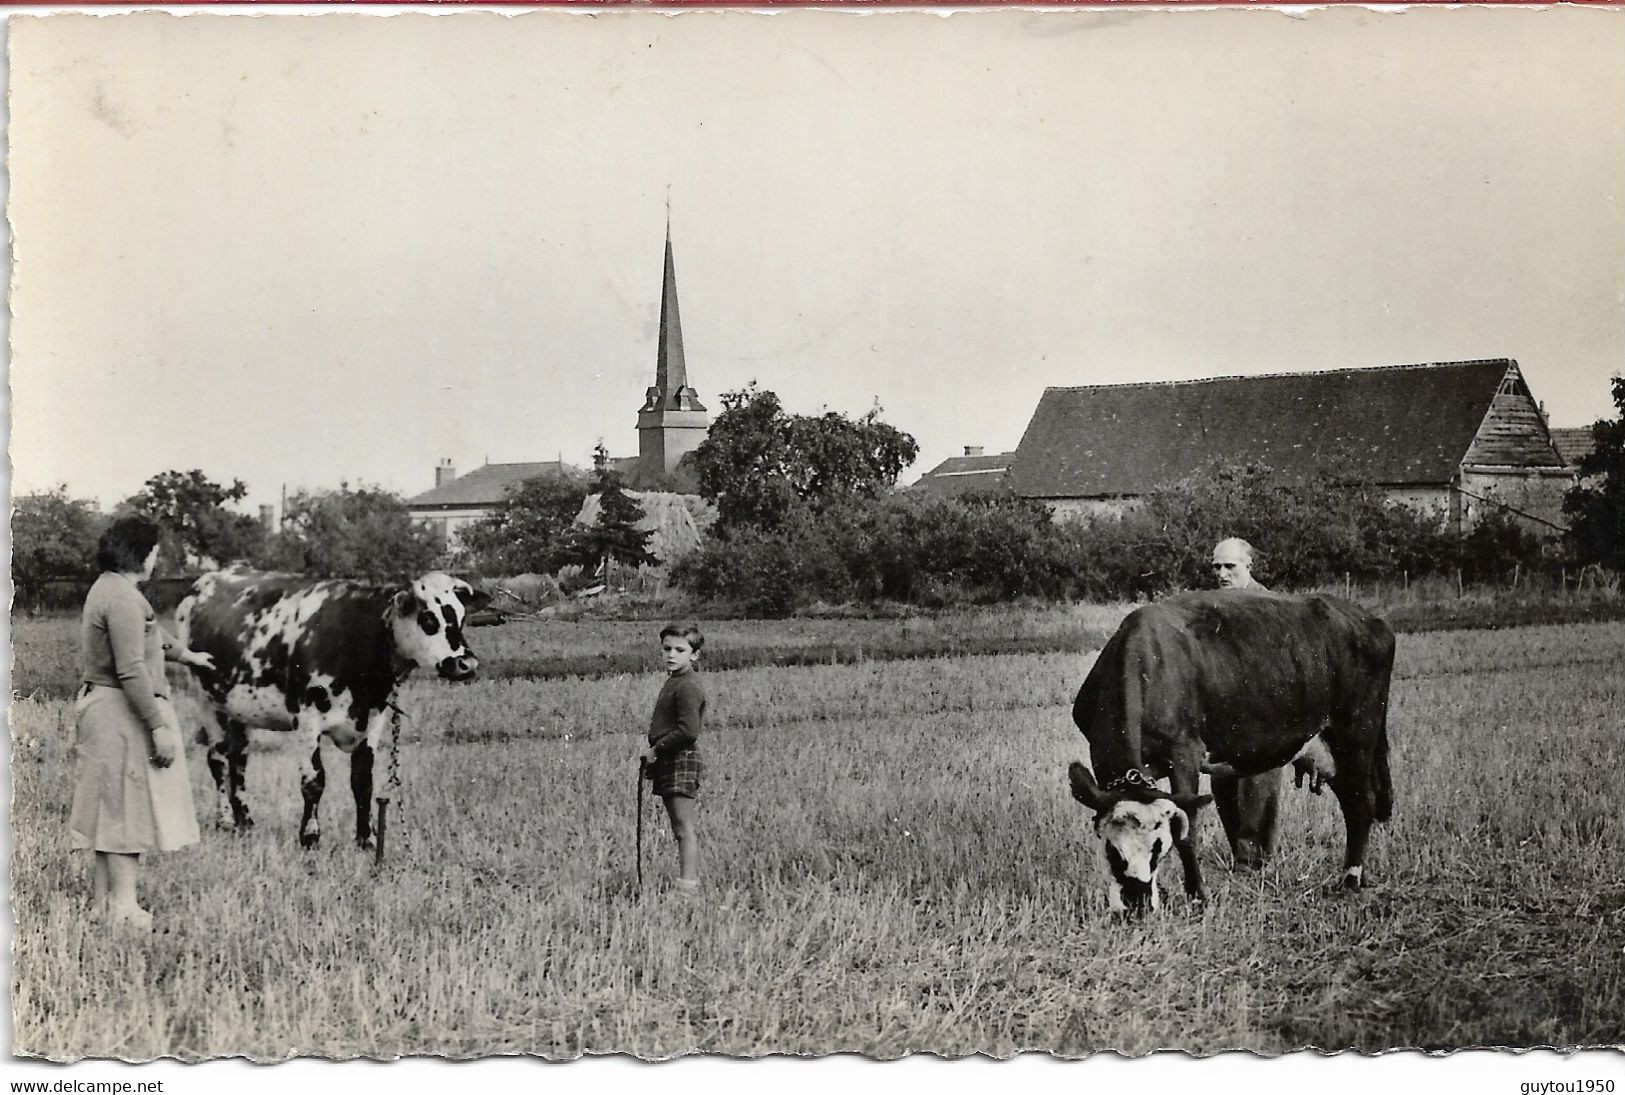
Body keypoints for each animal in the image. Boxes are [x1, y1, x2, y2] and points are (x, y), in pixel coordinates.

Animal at [175, 568, 487, 851]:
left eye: (461, 618)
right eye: (428, 619)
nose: (467, 664)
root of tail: (205, 581)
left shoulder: (373, 720)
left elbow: (362, 781)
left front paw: (367, 839)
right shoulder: (307, 721)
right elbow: (314, 781)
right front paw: (310, 837)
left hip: (239, 709)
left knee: (238, 759)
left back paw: (246, 822)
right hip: (206, 701)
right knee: (217, 759)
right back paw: (226, 821)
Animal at [1066, 588, 1397, 909]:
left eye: (1158, 848)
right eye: (1112, 850)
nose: (1138, 904)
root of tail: (1370, 619)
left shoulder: (1184, 753)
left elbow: (1188, 831)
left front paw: (1197, 895)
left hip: (1357, 733)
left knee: (1360, 804)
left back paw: (1350, 879)